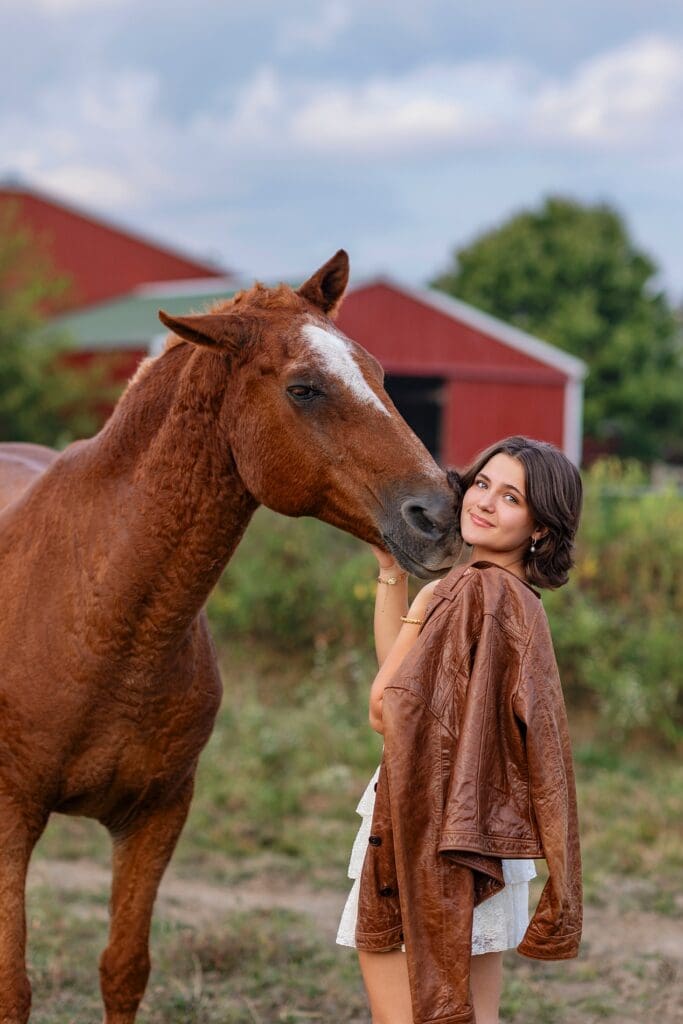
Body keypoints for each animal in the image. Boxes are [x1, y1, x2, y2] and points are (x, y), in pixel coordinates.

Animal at [0, 250, 459, 1023]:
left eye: (377, 372)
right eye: (303, 388)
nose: (439, 515)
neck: (100, 612)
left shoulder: (157, 816)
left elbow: (123, 968)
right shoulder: (11, 817)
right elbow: (14, 985)